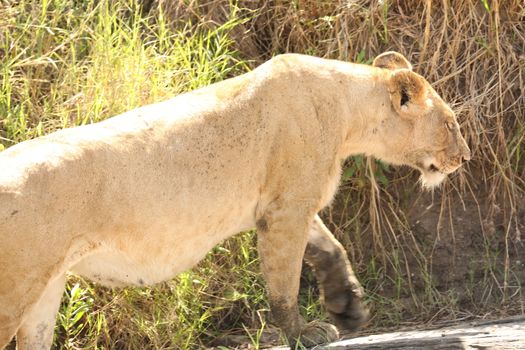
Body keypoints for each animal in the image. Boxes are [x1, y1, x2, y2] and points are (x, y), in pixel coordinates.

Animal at [0, 52, 466, 350]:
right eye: (450, 123)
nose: (465, 157)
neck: (347, 111)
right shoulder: (286, 209)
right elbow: (284, 285)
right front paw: (304, 334)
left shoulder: (286, 204)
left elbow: (331, 248)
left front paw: (348, 308)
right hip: (15, 288)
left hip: (45, 290)